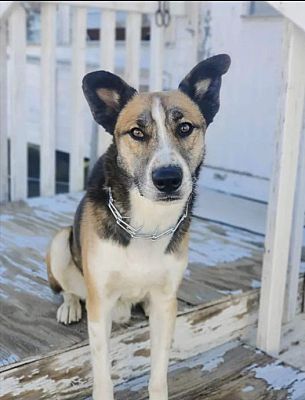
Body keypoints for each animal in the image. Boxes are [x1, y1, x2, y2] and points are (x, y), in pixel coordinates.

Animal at [46, 54, 229, 400]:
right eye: (137, 133)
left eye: (185, 128)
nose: (168, 179)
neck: (148, 222)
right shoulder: (100, 307)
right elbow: (103, 375)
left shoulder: (165, 306)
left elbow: (158, 374)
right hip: (61, 242)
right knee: (69, 289)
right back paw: (69, 307)